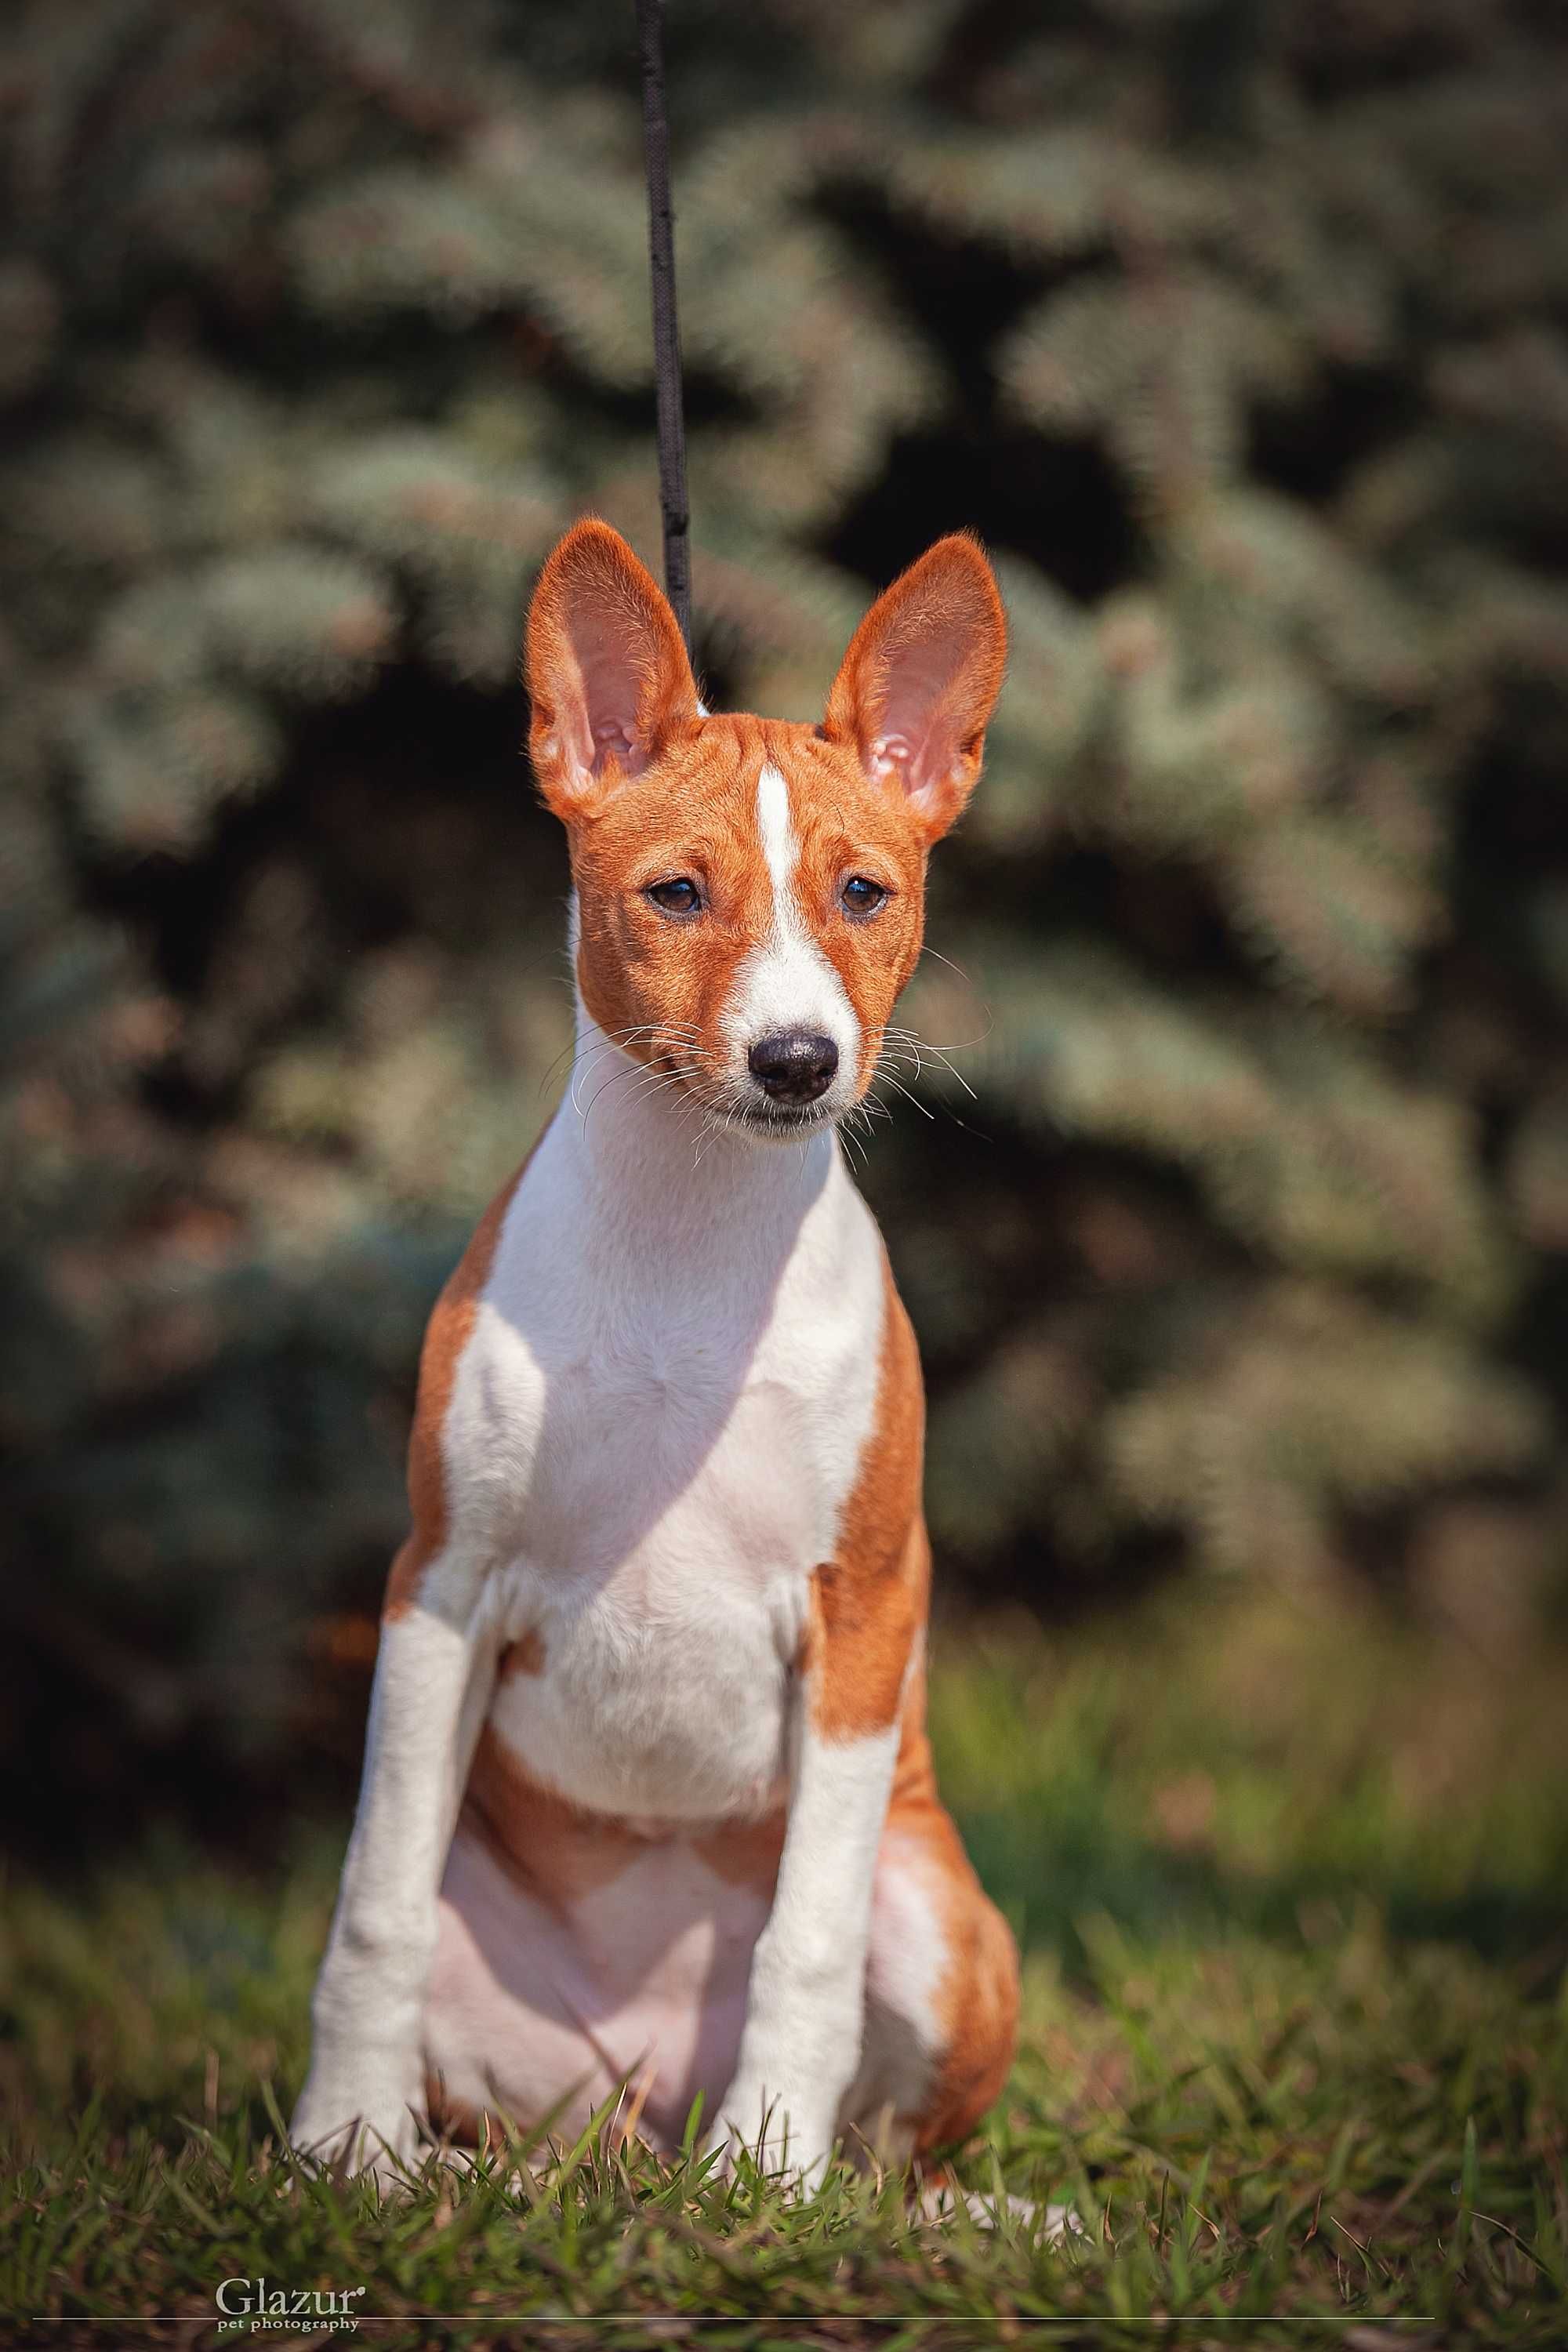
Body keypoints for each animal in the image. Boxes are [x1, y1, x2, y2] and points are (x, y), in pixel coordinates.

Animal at [291, 524, 1029, 2192]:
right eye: (676, 894)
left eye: (865, 892)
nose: (797, 1061)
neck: (695, 1231)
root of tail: (641, 2114)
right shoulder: (439, 1589)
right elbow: (369, 1912)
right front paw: (334, 2151)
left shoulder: (862, 1618)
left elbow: (805, 1952)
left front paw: (779, 2176)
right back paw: (435, 2181)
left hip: (940, 1910)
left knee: (900, 2157)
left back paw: (852, 2194)